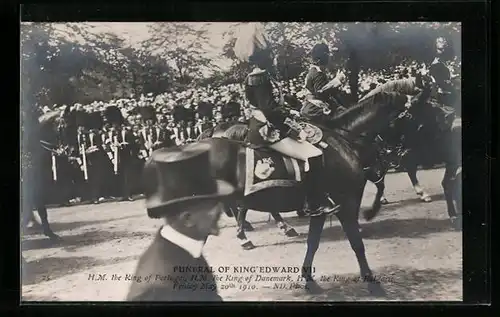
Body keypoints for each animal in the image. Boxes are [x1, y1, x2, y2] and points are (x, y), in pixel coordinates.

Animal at [189, 90, 412, 292]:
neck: (342, 141)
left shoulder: (322, 209)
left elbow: (313, 243)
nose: (400, 155)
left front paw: (309, 280)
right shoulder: (346, 204)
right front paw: (371, 281)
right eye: (408, 116)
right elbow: (357, 243)